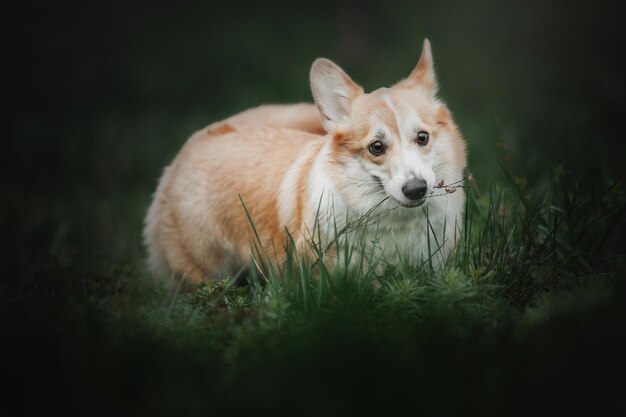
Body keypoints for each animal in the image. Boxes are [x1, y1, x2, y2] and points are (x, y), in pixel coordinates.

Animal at [141, 39, 464, 286]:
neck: (394, 223)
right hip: (206, 273)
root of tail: (197, 139)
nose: (416, 189)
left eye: (422, 137)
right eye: (376, 147)